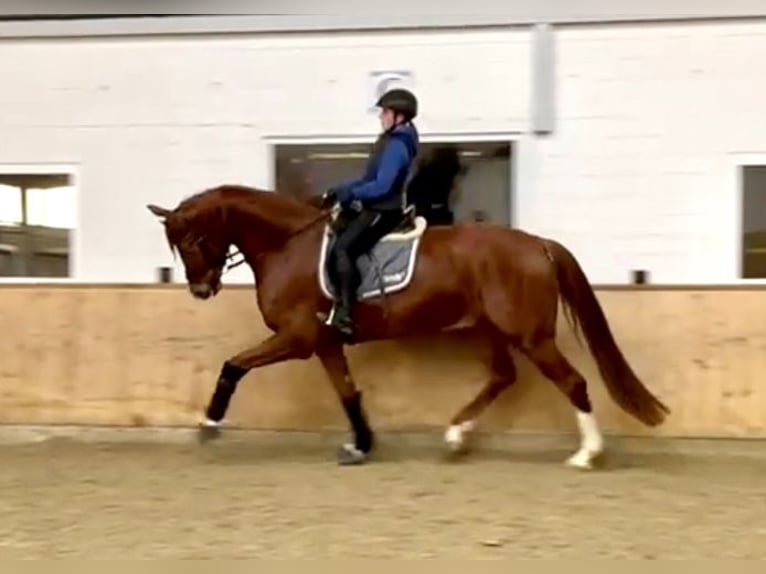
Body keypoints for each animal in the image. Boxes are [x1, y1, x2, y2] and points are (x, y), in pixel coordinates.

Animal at [146, 164, 669, 470]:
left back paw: (586, 454)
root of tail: (537, 243)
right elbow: (348, 392)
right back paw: (456, 436)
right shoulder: (325, 342)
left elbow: (233, 366)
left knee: (573, 382)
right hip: (491, 330)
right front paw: (361, 445)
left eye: (191, 239)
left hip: (530, 335)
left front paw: (209, 423)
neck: (287, 245)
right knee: (502, 377)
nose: (201, 290)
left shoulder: (297, 338)